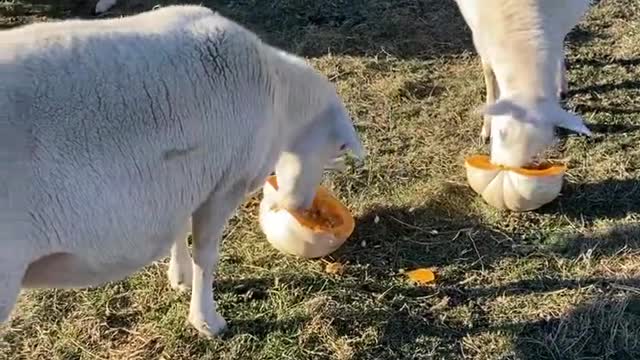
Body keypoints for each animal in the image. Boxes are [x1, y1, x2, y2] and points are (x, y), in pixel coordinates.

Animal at [0, 4, 360, 338]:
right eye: (334, 152)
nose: (300, 206)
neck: (281, 99)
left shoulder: (188, 178)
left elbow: (179, 226)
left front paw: (180, 277)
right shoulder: (224, 184)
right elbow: (207, 255)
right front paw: (206, 320)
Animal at [452, 0, 592, 166]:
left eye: (535, 150)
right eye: (502, 133)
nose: (502, 167)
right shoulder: (481, 40)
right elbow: (489, 78)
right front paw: (486, 129)